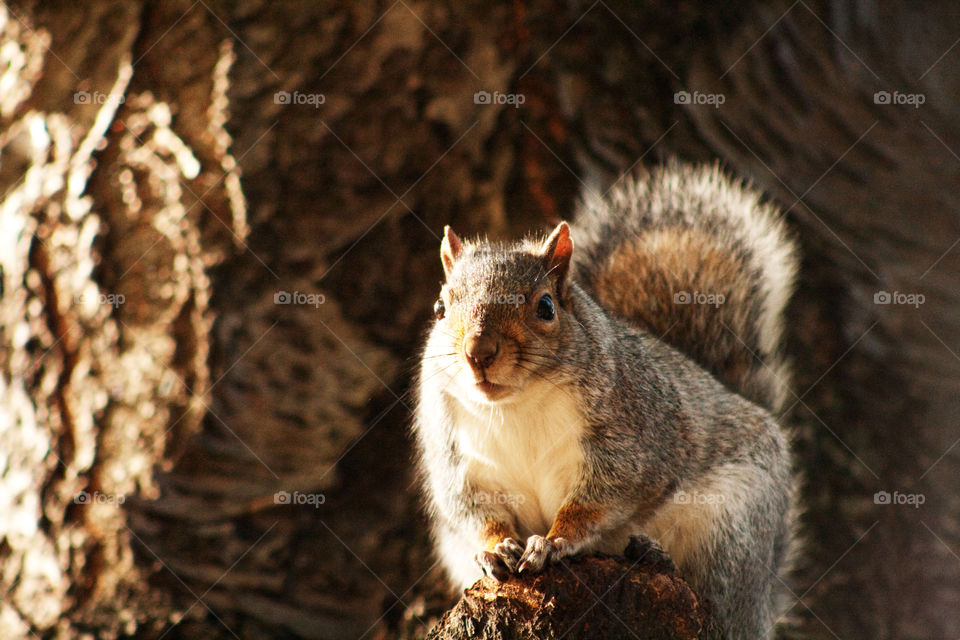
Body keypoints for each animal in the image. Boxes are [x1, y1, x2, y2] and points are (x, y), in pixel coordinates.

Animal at [413, 162, 799, 638]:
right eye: (439, 309)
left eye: (545, 307)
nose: (478, 352)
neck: (513, 408)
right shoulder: (458, 461)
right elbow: (473, 510)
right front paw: (496, 547)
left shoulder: (630, 445)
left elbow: (597, 502)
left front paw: (554, 541)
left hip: (732, 530)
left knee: (723, 601)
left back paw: (656, 554)